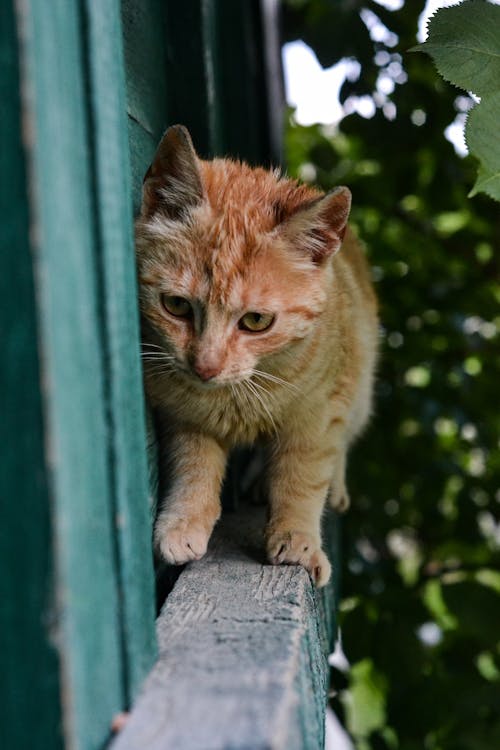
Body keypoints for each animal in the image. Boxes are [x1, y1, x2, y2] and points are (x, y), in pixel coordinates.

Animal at [135, 126, 376, 592]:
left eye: (256, 321)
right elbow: (193, 468)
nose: (205, 366)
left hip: (357, 393)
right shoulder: (187, 417)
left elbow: (303, 478)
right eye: (176, 305)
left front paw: (297, 538)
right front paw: (184, 522)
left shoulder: (318, 419)